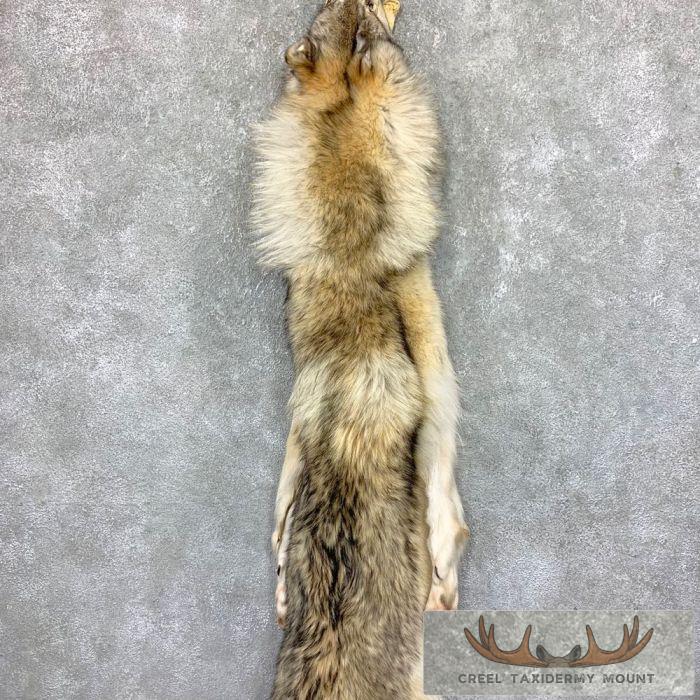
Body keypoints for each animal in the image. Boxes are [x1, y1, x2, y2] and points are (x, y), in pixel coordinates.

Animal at [252, 0, 469, 696]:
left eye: (343, 15)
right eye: (368, 13)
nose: (375, 2)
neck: (352, 256)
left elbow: (281, 504)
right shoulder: (440, 383)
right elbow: (449, 508)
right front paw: (445, 578)